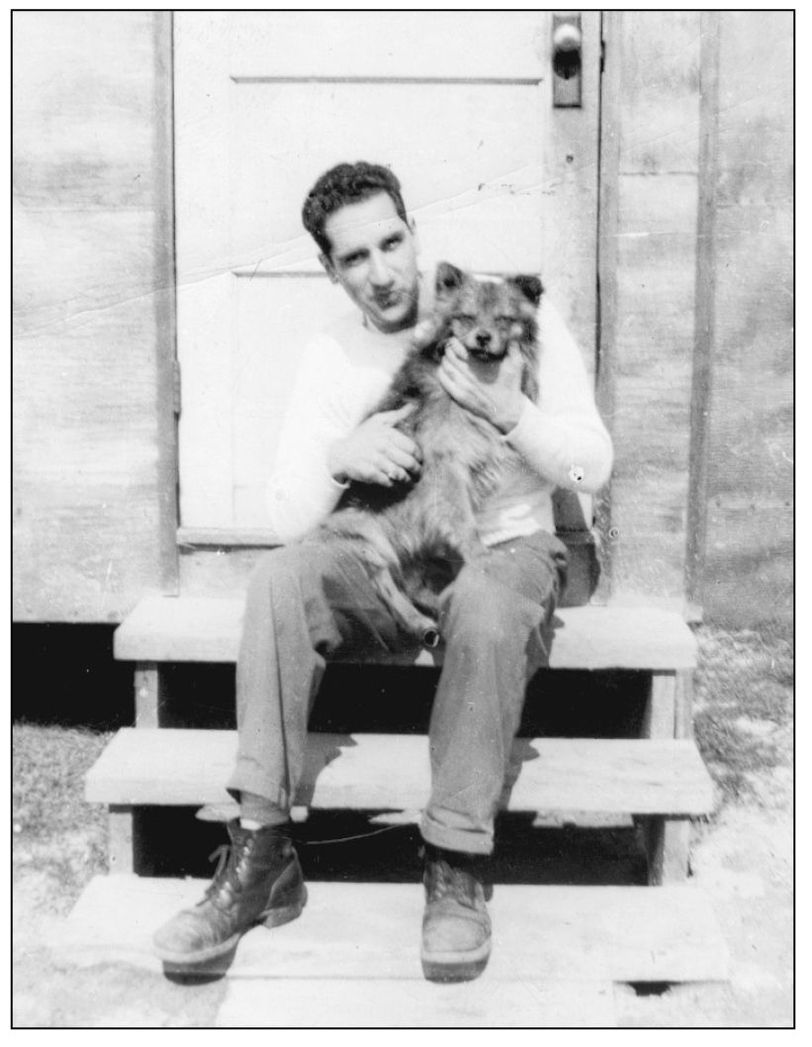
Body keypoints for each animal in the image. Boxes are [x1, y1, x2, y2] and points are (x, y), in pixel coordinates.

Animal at [316, 259, 539, 644]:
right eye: (466, 317)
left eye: (503, 319)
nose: (482, 337)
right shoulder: (445, 464)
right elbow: (463, 521)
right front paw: (479, 554)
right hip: (365, 539)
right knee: (386, 584)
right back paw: (418, 622)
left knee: (411, 584)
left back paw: (436, 608)